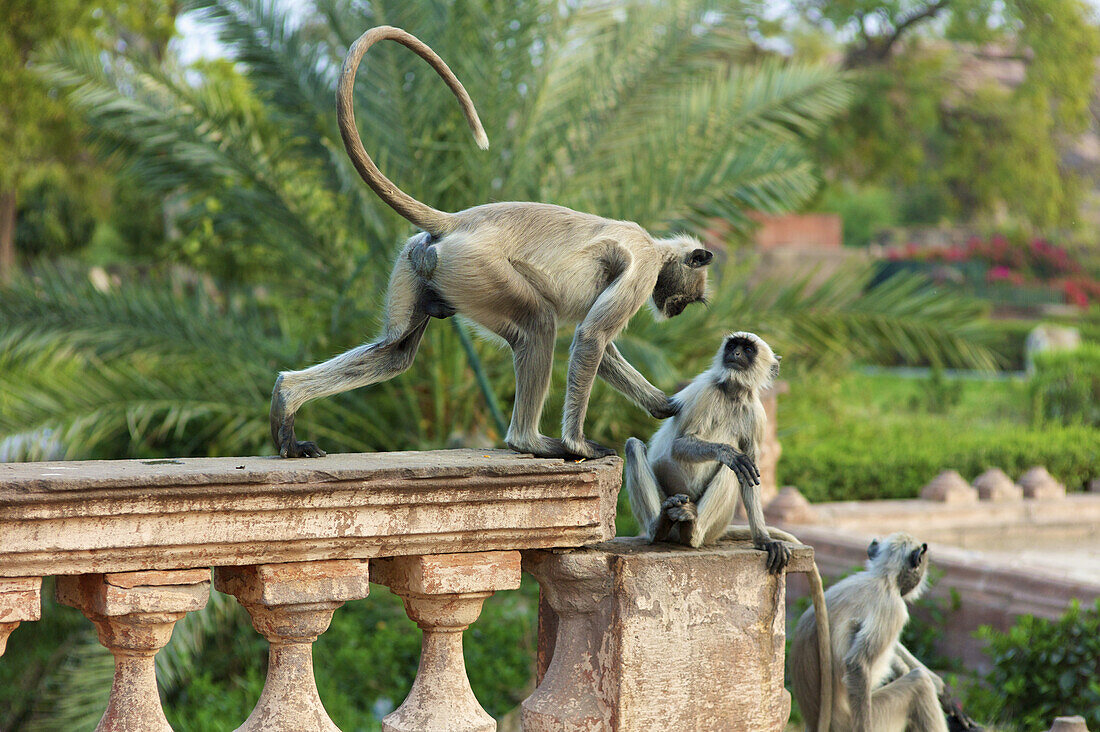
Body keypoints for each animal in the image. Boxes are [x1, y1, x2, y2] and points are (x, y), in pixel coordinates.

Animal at [268, 25, 712, 460]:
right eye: (688, 299)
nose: (676, 310)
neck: (656, 247)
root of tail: (458, 220)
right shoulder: (643, 266)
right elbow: (591, 338)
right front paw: (577, 443)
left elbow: (597, 346)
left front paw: (665, 405)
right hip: (478, 268)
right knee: (537, 324)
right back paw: (531, 442)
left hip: (418, 260)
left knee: (395, 351)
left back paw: (288, 399)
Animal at [792, 530, 954, 730]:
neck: (882, 577)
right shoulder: (894, 608)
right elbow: (857, 664)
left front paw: (943, 690)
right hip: (872, 718)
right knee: (920, 683)